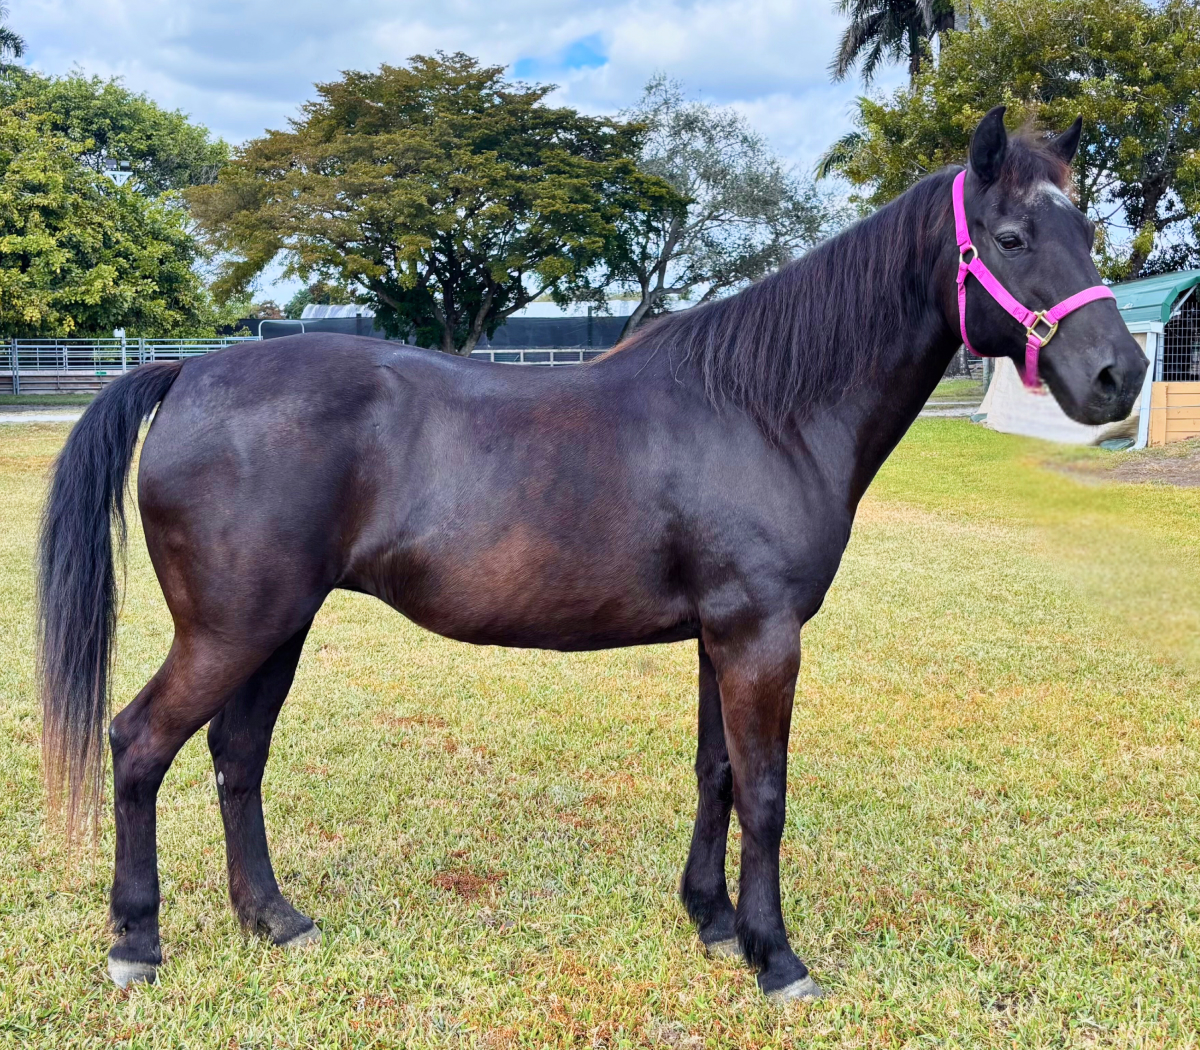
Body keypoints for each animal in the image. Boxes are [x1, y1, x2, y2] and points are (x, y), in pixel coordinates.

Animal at [37, 108, 1146, 1001]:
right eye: (1011, 236)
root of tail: (190, 374)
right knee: (139, 743)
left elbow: (716, 774)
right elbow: (767, 793)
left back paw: (274, 920)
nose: (1118, 375)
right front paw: (778, 959)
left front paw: (713, 923)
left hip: (278, 628)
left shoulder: (722, 637)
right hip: (232, 628)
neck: (764, 406)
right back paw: (135, 945)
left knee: (237, 757)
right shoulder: (762, 637)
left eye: (1088, 230)